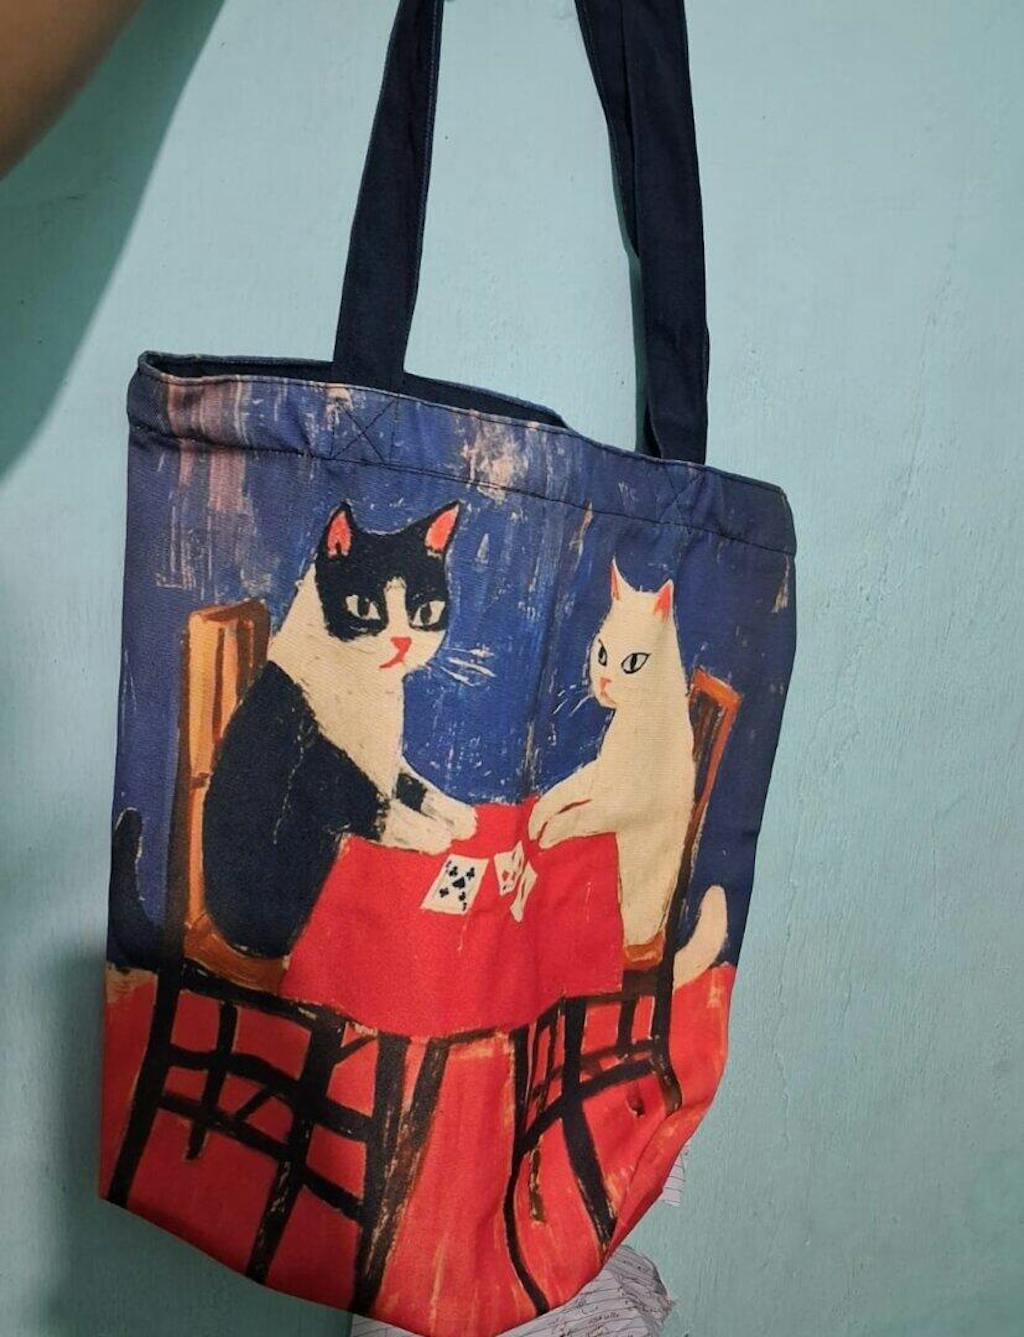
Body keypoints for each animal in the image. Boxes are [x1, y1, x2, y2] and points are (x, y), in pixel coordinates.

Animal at [203, 501, 476, 960]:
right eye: (364, 607)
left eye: (424, 612)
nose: (401, 643)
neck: (367, 692)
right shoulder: (314, 772)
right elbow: (373, 804)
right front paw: (433, 832)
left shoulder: (387, 760)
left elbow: (412, 782)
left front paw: (457, 812)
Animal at [529, 560, 702, 966]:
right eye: (602, 654)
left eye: (633, 663)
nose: (605, 683)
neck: (632, 719)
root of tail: (656, 944)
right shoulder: (599, 775)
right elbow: (561, 794)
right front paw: (535, 820)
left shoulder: (624, 804)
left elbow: (576, 816)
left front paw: (547, 837)